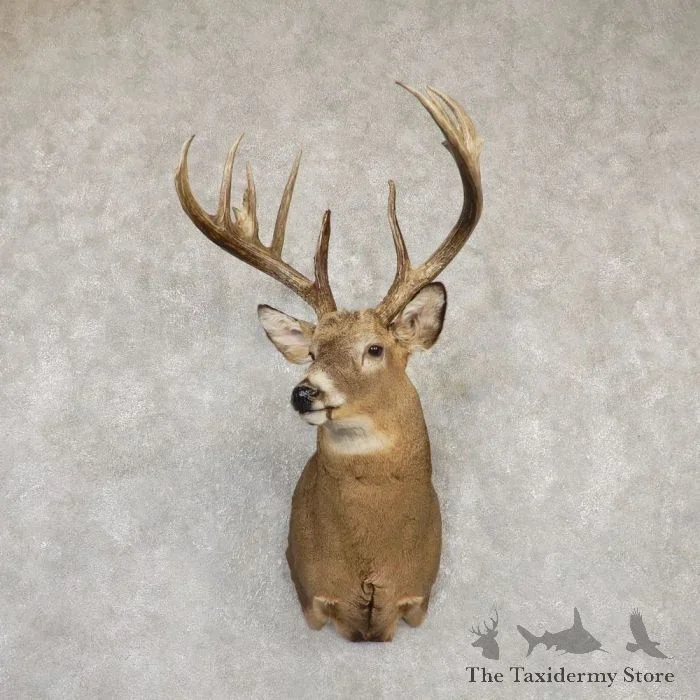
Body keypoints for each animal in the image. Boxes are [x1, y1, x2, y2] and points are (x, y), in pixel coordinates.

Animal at [174, 83, 483, 642]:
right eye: (314, 350)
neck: (370, 562)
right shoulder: (312, 597)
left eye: (375, 348)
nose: (304, 392)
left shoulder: (417, 598)